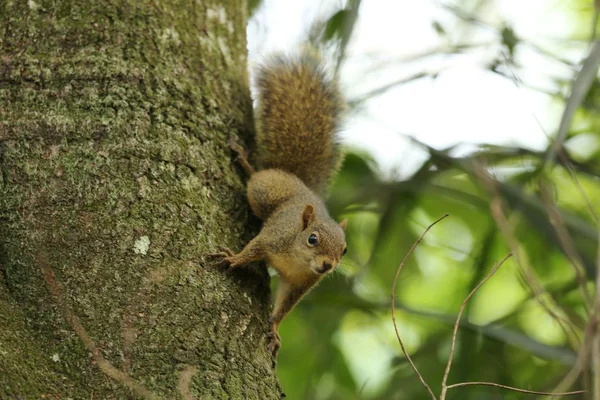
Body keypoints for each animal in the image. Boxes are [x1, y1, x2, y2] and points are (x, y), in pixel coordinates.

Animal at [213, 51, 350, 358]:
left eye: (344, 251)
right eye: (312, 239)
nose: (327, 265)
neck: (298, 261)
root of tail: (294, 177)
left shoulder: (302, 283)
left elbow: (285, 306)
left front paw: (274, 330)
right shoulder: (274, 238)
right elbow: (254, 248)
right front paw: (234, 258)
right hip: (263, 193)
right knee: (255, 178)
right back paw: (245, 162)